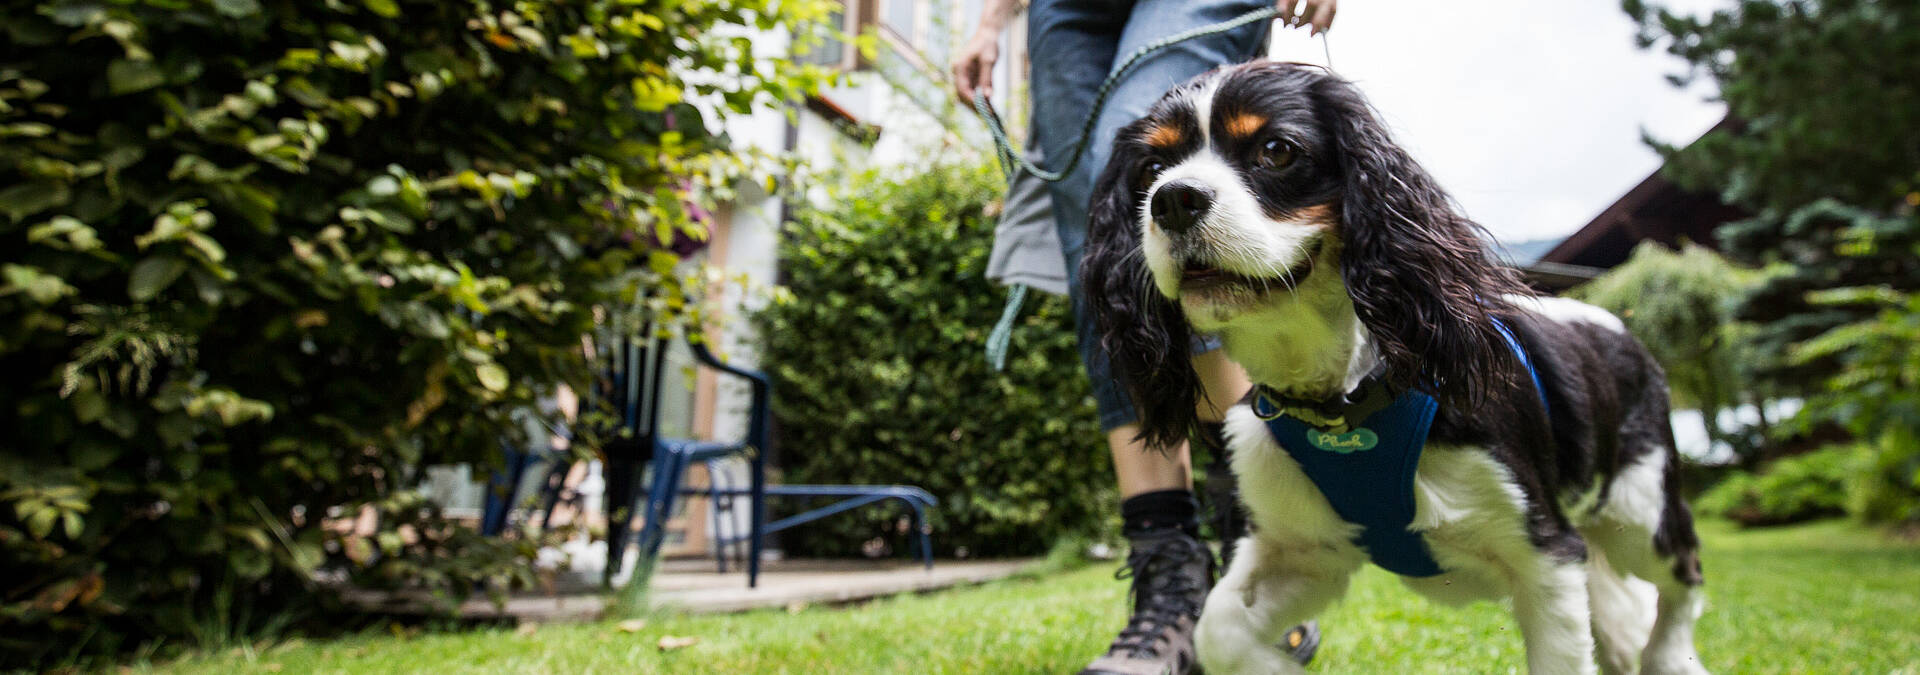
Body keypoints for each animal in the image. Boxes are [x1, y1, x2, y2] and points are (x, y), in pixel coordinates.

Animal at [1082, 60, 1712, 671]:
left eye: (1276, 150)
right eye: (1151, 168)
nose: (1172, 199)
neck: (1342, 399)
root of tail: (1618, 323)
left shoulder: (1547, 556)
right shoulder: (1308, 552)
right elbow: (1218, 630)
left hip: (1642, 511)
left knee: (1684, 577)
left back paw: (1668, 659)